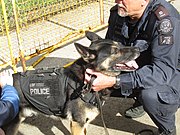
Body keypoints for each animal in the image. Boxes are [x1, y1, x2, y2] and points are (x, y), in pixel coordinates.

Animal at [2, 31, 140, 134]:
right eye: (114, 51)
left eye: (120, 44)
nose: (138, 49)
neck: (87, 78)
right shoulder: (77, 124)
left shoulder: (83, 124)